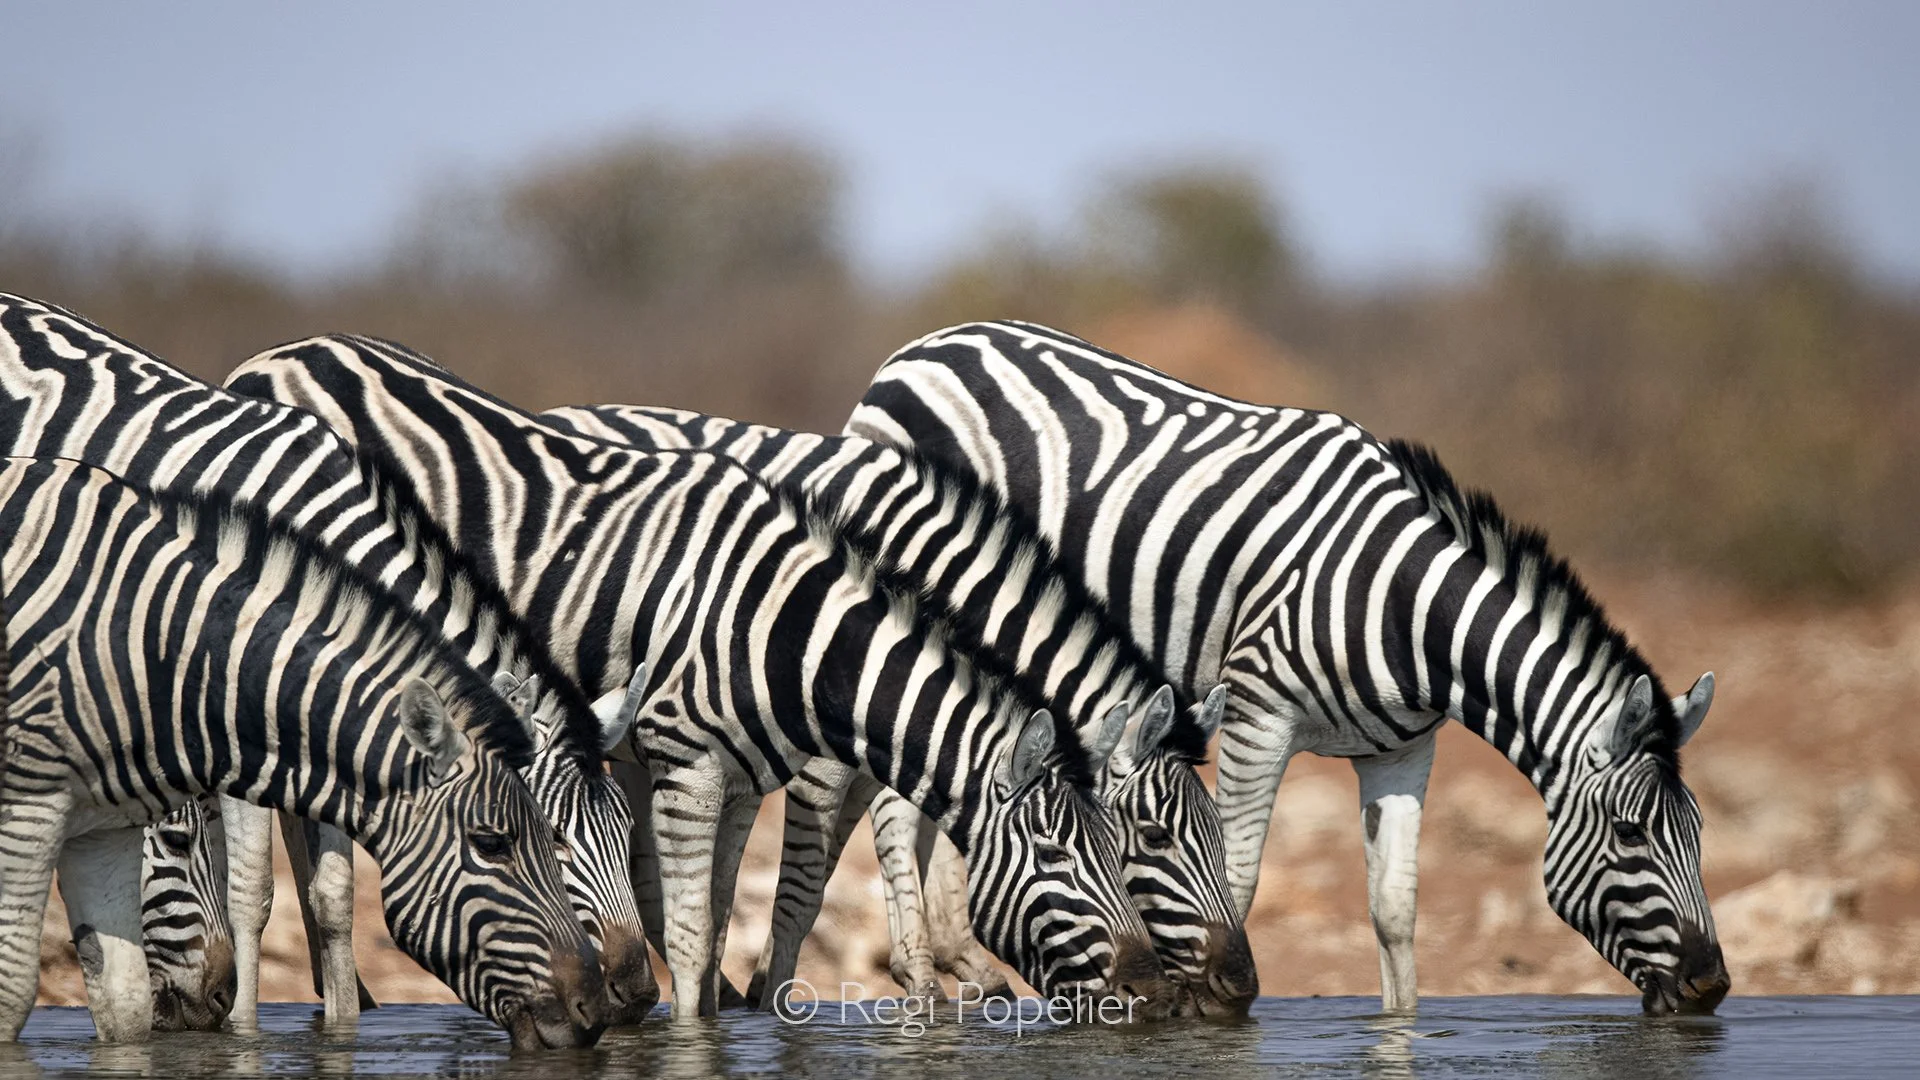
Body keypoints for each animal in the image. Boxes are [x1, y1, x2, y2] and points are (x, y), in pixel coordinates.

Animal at [0, 293, 654, 1027]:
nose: (637, 996)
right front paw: (244, 1029)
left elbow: (335, 892)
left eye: (628, 831)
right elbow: (252, 890)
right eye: (553, 839)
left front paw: (342, 1027)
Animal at [225, 335, 1178, 1020]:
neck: (792, 636)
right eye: (1062, 852)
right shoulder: (698, 766)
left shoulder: (742, 774)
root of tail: (276, 356)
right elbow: (713, 922)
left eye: (1126, 845)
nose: (1158, 990)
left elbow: (717, 918)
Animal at [847, 320, 1730, 1015]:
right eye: (1630, 835)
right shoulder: (1256, 717)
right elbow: (1235, 883)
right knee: (894, 794)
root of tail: (919, 348)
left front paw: (1400, 1028)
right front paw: (1208, 1002)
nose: (1712, 987)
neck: (1404, 606)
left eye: (1698, 831)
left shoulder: (1402, 750)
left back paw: (964, 964)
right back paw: (920, 975)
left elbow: (1394, 910)